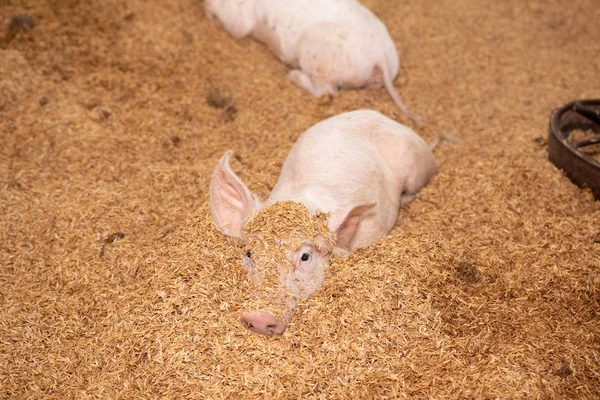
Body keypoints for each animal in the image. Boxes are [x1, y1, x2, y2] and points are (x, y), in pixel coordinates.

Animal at [204, 0, 424, 125]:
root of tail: (380, 56)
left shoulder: (239, 17)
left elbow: (236, 27)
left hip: (316, 53)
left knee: (325, 90)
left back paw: (292, 74)